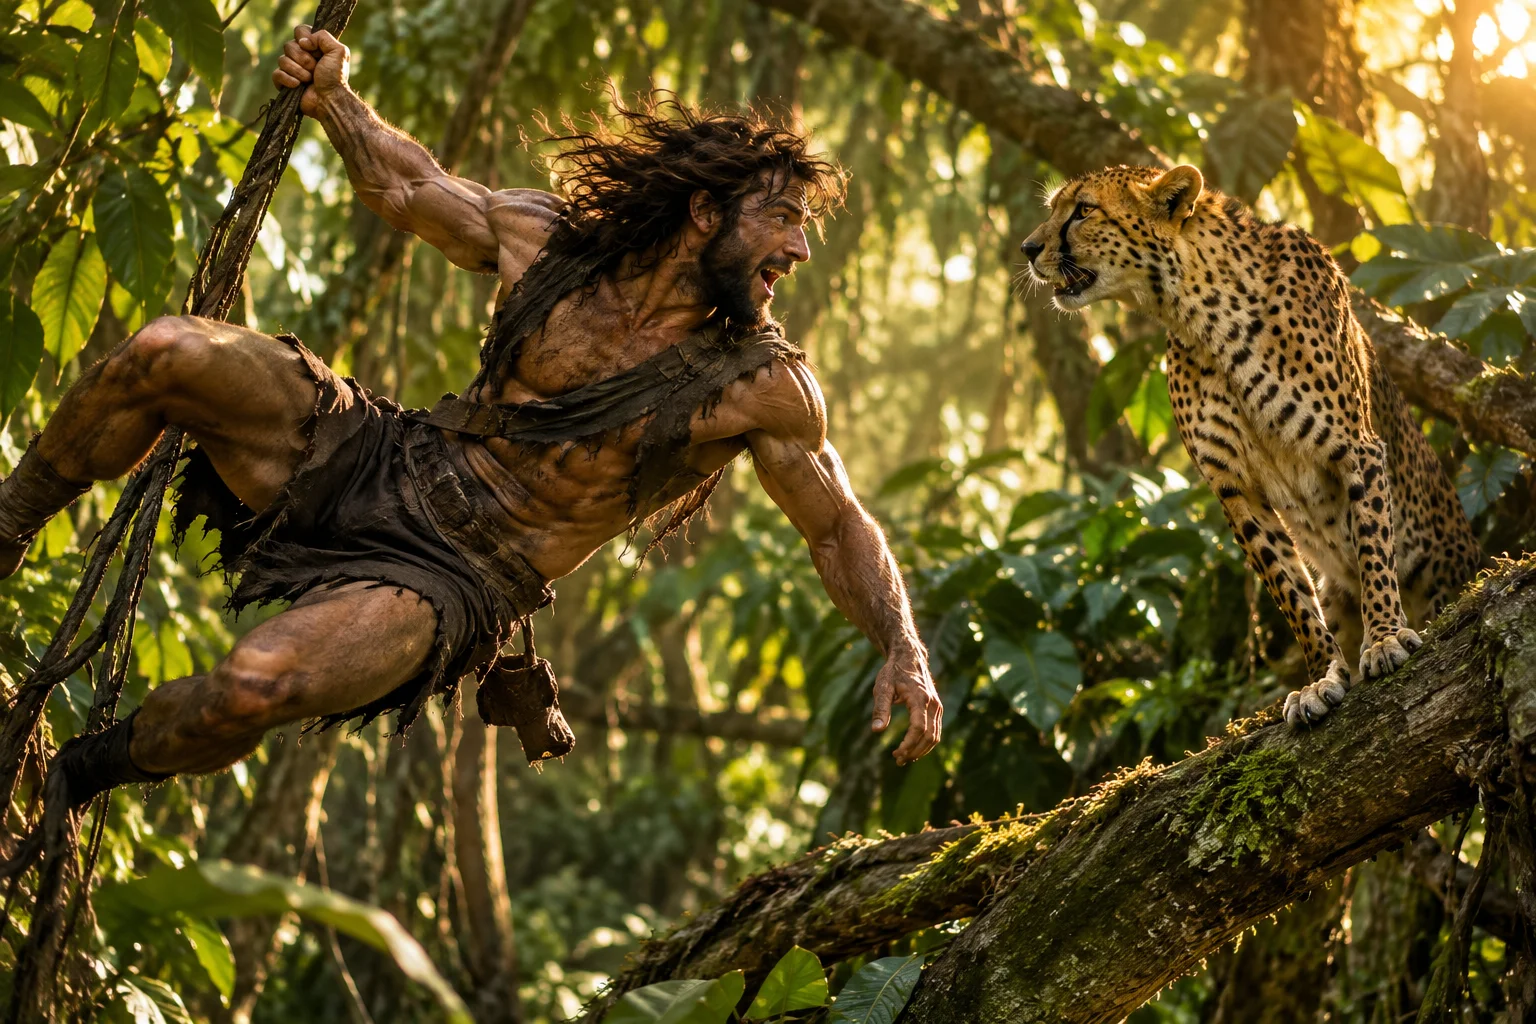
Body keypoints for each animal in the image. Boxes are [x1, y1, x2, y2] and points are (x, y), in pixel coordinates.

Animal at [1020, 163, 1484, 727]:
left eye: (1084, 210)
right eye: (1054, 209)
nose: (1027, 247)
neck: (1198, 315)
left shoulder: (1357, 448)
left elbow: (1374, 548)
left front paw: (1385, 637)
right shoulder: (1236, 489)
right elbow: (1289, 591)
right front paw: (1322, 678)